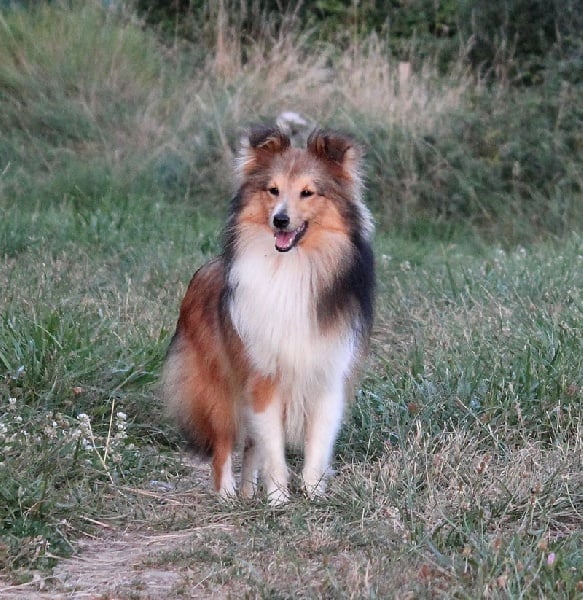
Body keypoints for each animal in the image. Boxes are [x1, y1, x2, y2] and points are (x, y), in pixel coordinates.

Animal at [162, 125, 374, 504]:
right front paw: (278, 499)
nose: (280, 220)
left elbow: (316, 446)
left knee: (250, 448)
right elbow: (273, 448)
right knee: (224, 445)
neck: (292, 268)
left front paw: (313, 495)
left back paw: (248, 493)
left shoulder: (327, 378)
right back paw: (227, 496)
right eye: (273, 190)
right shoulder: (262, 377)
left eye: (308, 192)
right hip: (221, 390)